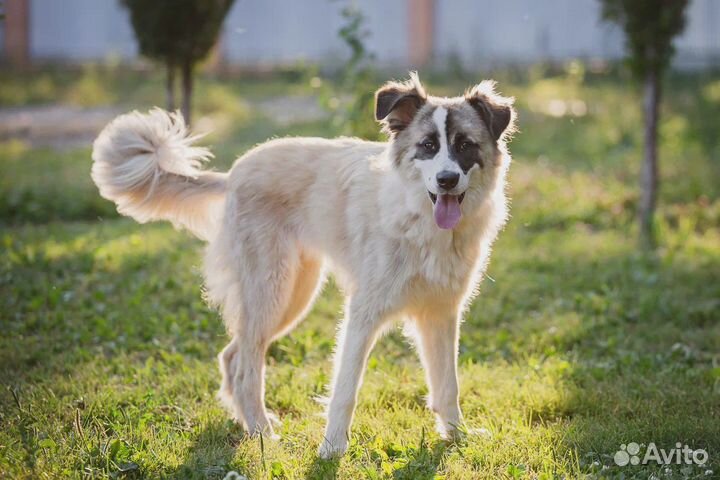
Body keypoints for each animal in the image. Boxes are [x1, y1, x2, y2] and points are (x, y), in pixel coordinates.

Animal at [93, 74, 516, 458]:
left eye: (465, 145)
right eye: (428, 146)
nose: (446, 180)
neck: (420, 219)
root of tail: (233, 174)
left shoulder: (441, 314)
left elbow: (447, 384)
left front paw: (456, 437)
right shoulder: (363, 314)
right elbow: (345, 390)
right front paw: (331, 449)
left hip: (293, 295)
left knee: (232, 355)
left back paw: (248, 423)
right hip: (273, 292)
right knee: (246, 367)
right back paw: (261, 433)